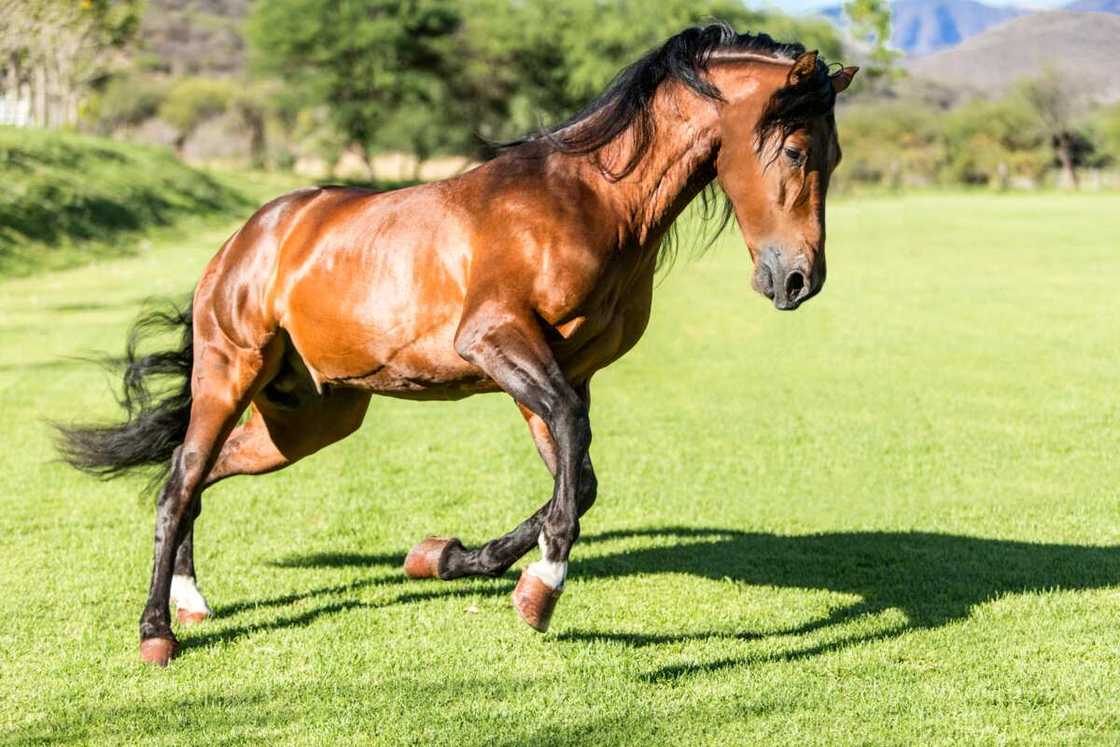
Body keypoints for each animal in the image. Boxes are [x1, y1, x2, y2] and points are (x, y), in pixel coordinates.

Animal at [56, 23, 855, 667]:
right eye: (793, 149)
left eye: (836, 154)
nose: (798, 278)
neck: (591, 202)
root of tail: (245, 239)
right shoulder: (498, 341)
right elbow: (572, 459)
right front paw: (539, 591)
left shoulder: (566, 371)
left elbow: (578, 477)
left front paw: (445, 559)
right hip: (232, 372)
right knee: (179, 481)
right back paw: (158, 633)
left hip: (309, 417)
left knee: (197, 475)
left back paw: (192, 601)